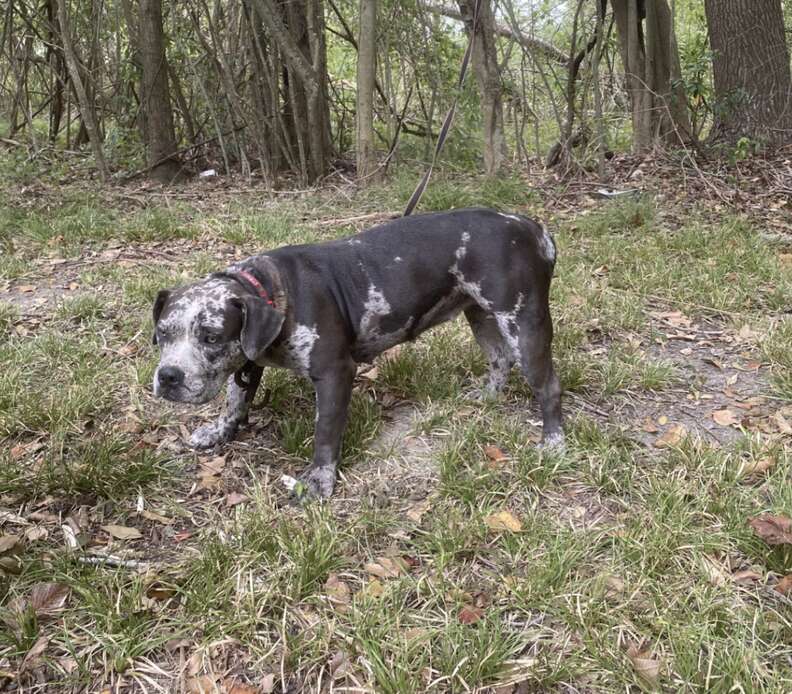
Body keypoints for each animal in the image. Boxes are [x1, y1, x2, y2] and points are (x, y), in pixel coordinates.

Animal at [152, 208, 564, 500]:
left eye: (211, 337)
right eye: (162, 334)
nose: (168, 376)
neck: (270, 291)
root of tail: (531, 227)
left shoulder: (334, 374)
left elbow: (325, 432)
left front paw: (319, 480)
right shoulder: (248, 363)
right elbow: (235, 401)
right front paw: (220, 431)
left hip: (524, 325)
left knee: (548, 385)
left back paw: (553, 440)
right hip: (480, 315)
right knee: (499, 359)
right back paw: (488, 397)